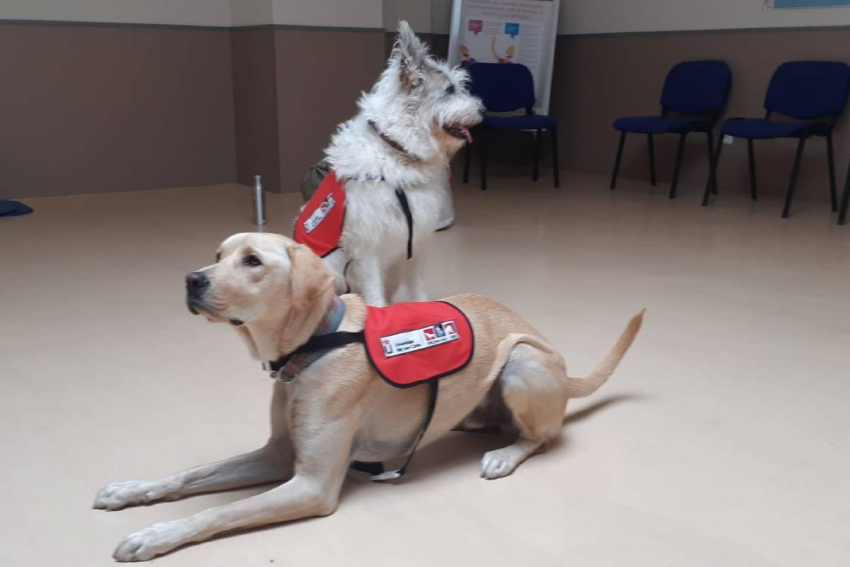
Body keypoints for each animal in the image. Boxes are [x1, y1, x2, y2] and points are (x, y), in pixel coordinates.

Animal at [91, 233, 644, 560]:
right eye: (216, 257)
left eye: (252, 261)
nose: (191, 280)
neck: (314, 345)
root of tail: (565, 370)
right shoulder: (278, 454)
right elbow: (190, 476)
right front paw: (131, 491)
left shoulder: (311, 484)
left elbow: (219, 511)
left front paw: (155, 535)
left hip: (522, 363)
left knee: (541, 437)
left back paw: (505, 455)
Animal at [318, 21, 480, 306]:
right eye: (449, 90)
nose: (482, 110)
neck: (395, 148)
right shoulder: (367, 247)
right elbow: (374, 297)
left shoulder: (415, 241)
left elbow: (418, 287)